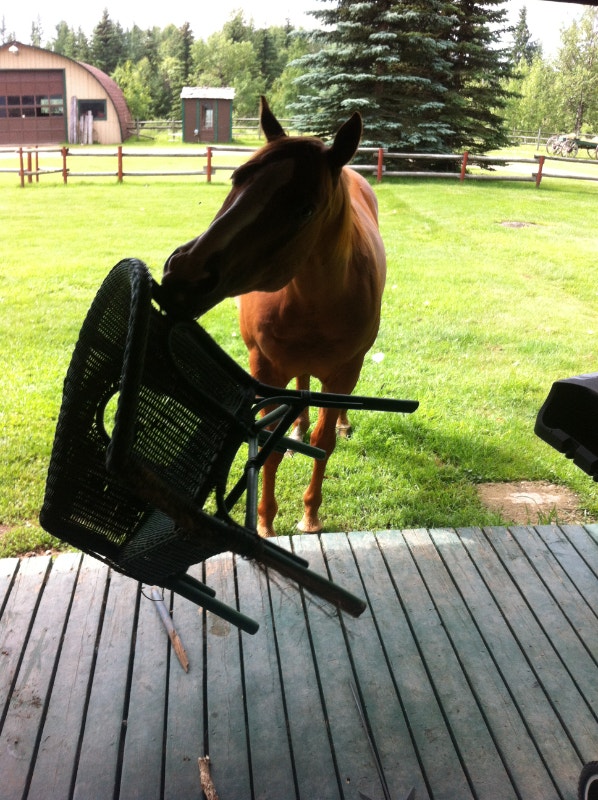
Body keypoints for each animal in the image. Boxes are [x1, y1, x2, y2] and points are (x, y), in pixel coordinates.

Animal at [162, 97, 386, 537]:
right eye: (237, 179)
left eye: (305, 209)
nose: (183, 276)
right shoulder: (265, 368)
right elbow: (269, 445)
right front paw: (264, 520)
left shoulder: (343, 372)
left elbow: (324, 444)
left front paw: (310, 515)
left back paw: (341, 421)